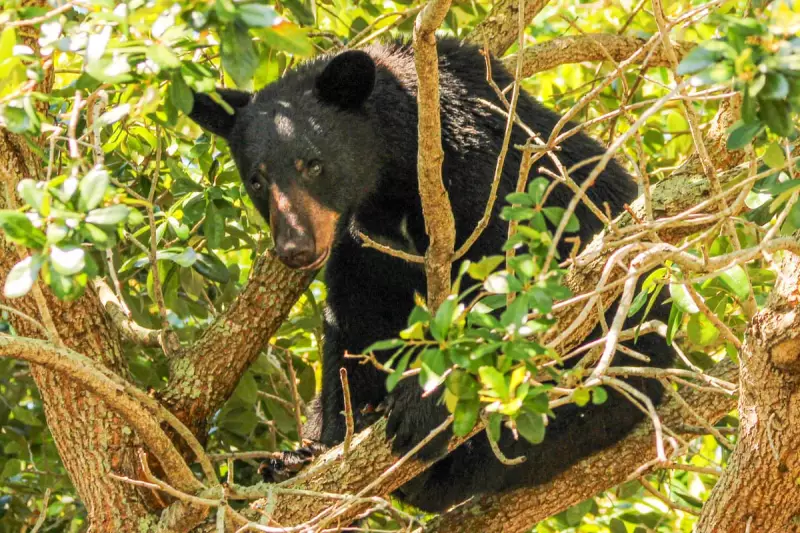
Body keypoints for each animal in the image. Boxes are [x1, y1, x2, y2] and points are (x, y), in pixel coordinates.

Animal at [187, 38, 675, 513]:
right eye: (257, 180)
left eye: (313, 164)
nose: (296, 248)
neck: (399, 175)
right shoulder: (364, 237)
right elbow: (356, 319)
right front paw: (326, 442)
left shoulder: (492, 182)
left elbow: (513, 287)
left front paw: (421, 408)